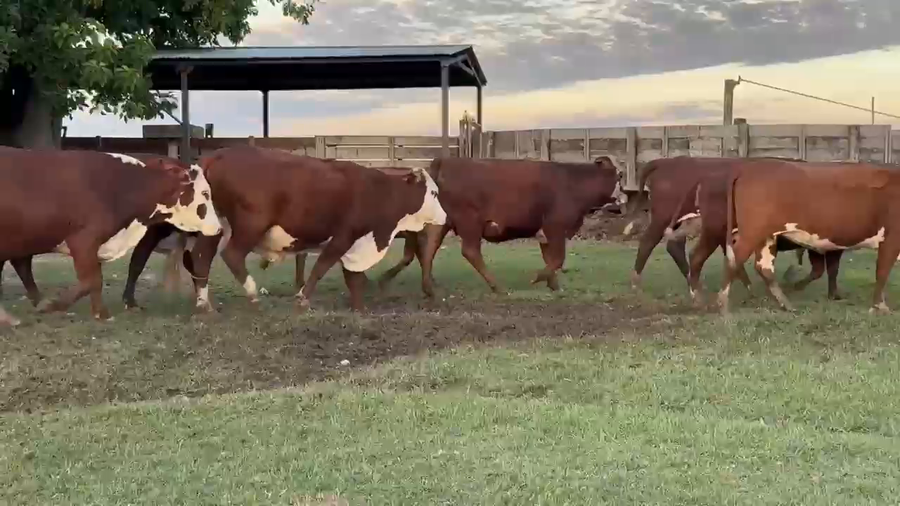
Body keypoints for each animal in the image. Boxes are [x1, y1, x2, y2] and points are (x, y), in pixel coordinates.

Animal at [0, 148, 221, 326]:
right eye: (205, 193)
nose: (219, 228)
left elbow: (95, 280)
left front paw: (99, 313)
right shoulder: (83, 241)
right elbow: (91, 280)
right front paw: (61, 306)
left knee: (21, 264)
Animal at [174, 146, 446, 312]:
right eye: (433, 193)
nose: (444, 216)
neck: (378, 191)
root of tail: (218, 155)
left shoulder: (354, 242)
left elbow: (352, 277)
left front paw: (359, 307)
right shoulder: (344, 236)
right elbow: (322, 266)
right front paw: (303, 298)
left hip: (215, 227)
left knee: (201, 259)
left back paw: (204, 304)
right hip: (250, 225)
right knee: (231, 255)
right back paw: (252, 295)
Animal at [416, 156, 626, 293]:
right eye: (620, 175)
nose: (624, 197)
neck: (574, 182)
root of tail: (446, 160)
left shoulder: (545, 233)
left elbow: (550, 258)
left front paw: (554, 285)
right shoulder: (555, 227)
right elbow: (558, 259)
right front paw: (539, 278)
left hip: (442, 222)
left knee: (430, 247)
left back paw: (428, 287)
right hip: (470, 223)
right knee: (470, 251)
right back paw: (497, 287)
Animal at [718, 159, 900, 315]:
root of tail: (749, 169)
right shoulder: (891, 239)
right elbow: (882, 272)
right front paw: (879, 306)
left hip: (766, 236)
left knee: (764, 267)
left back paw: (786, 304)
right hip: (752, 233)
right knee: (733, 260)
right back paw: (723, 305)